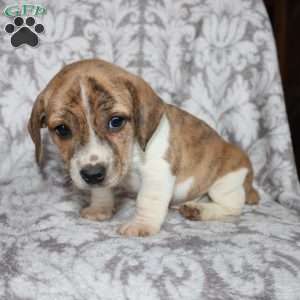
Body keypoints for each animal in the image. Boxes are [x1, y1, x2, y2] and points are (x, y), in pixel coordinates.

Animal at [27, 58, 258, 237]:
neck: (132, 152)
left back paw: (200, 210)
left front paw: (141, 224)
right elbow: (102, 191)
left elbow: (147, 201)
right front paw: (100, 209)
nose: (92, 175)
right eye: (62, 129)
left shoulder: (157, 173)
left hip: (226, 183)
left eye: (116, 121)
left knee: (233, 206)